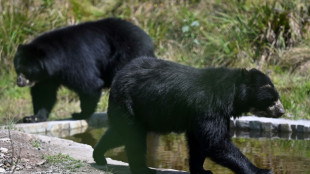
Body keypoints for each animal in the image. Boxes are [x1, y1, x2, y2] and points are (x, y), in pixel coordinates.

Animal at [14, 17, 155, 122]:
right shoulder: (48, 76)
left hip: (128, 54)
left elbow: (89, 84)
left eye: (26, 71)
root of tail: (149, 40)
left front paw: (80, 114)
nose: (19, 82)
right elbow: (44, 93)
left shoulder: (74, 61)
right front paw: (33, 117)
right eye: (17, 69)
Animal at [92, 57, 286, 174]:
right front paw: (262, 170)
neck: (232, 96)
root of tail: (118, 76)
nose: (282, 111)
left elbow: (198, 142)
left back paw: (99, 155)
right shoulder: (210, 107)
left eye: (277, 98)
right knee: (133, 137)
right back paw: (143, 168)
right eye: (272, 99)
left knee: (120, 132)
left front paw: (202, 170)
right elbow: (215, 141)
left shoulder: (200, 114)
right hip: (129, 102)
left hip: (137, 110)